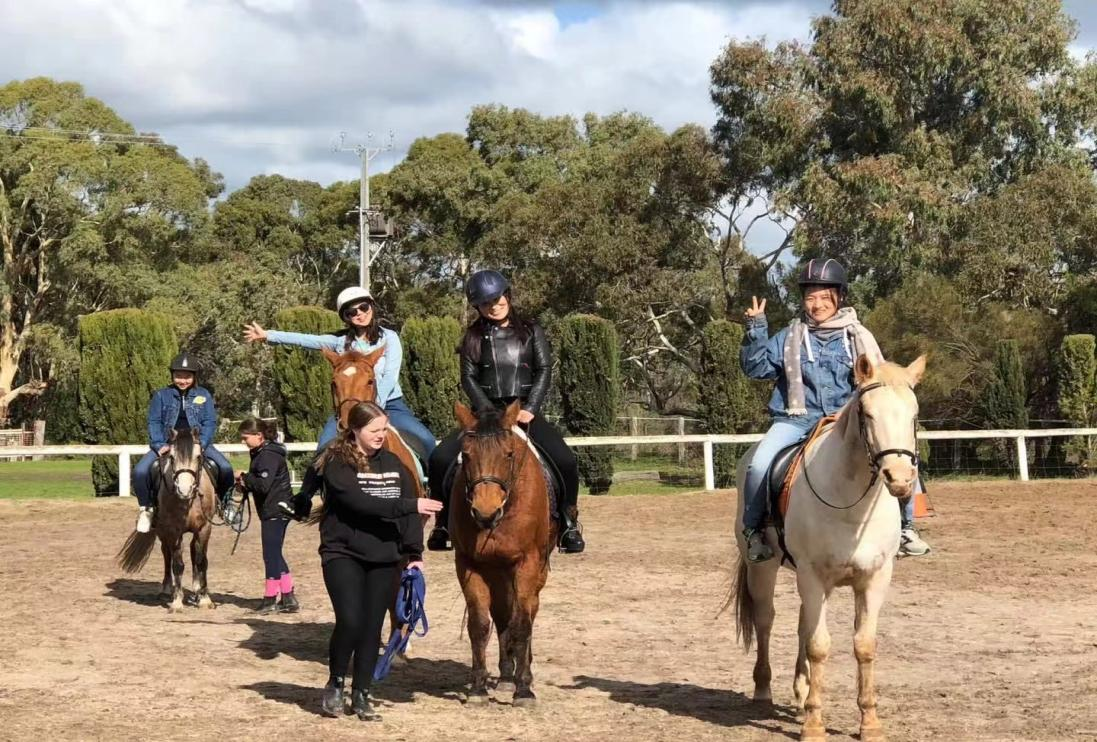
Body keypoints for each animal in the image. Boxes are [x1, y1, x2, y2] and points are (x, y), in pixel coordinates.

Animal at [117, 428, 218, 612]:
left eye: (198, 457)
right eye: (171, 457)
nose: (184, 490)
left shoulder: (204, 528)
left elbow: (201, 561)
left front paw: (204, 599)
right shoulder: (174, 530)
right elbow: (177, 564)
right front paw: (177, 602)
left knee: (193, 551)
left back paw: (195, 589)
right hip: (162, 531)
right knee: (166, 554)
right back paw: (166, 589)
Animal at [451, 400, 556, 707]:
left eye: (508, 454)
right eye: (465, 455)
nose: (485, 513)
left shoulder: (527, 564)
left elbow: (522, 622)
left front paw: (524, 689)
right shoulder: (469, 564)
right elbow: (479, 625)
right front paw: (478, 688)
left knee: (529, 611)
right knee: (500, 616)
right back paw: (506, 675)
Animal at [733, 354, 926, 741]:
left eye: (913, 414)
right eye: (867, 414)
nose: (899, 479)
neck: (852, 504)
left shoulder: (874, 578)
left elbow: (863, 645)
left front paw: (869, 722)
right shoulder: (812, 576)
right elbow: (819, 646)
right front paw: (814, 725)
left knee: (802, 624)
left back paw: (801, 691)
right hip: (764, 568)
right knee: (766, 621)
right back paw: (763, 689)